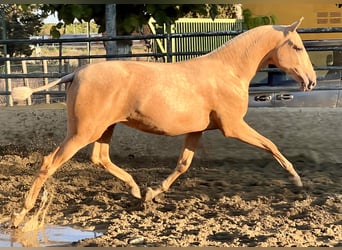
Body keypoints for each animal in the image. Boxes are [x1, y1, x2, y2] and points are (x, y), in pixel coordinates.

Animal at [10, 17, 316, 227]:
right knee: (50, 162)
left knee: (100, 158)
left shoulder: (197, 130)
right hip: (83, 131)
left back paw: (136, 190)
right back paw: (20, 215)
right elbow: (270, 144)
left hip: (104, 128)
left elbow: (183, 164)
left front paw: (153, 193)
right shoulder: (233, 127)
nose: (311, 82)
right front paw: (297, 179)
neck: (229, 71)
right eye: (297, 47)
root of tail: (75, 73)